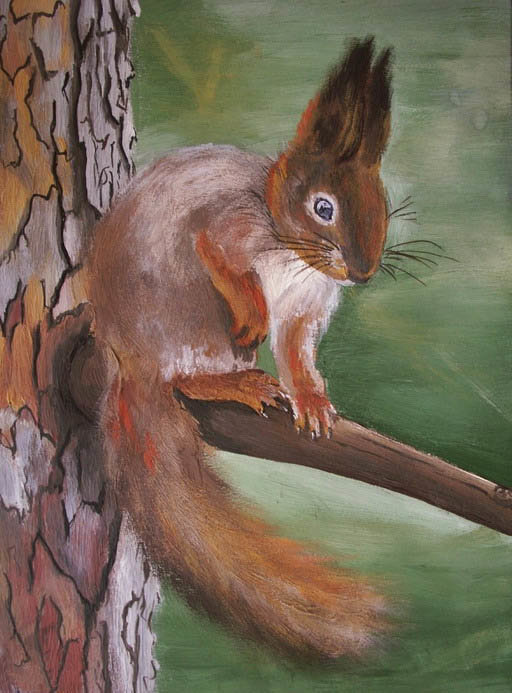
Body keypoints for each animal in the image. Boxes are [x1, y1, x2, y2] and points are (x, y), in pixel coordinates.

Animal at [79, 37, 393, 660]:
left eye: (384, 202)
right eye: (324, 207)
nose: (364, 271)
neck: (297, 251)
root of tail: (126, 361)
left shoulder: (308, 308)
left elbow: (297, 352)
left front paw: (312, 400)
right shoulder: (229, 229)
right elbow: (222, 257)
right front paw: (253, 315)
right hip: (191, 316)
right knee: (182, 375)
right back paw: (233, 381)